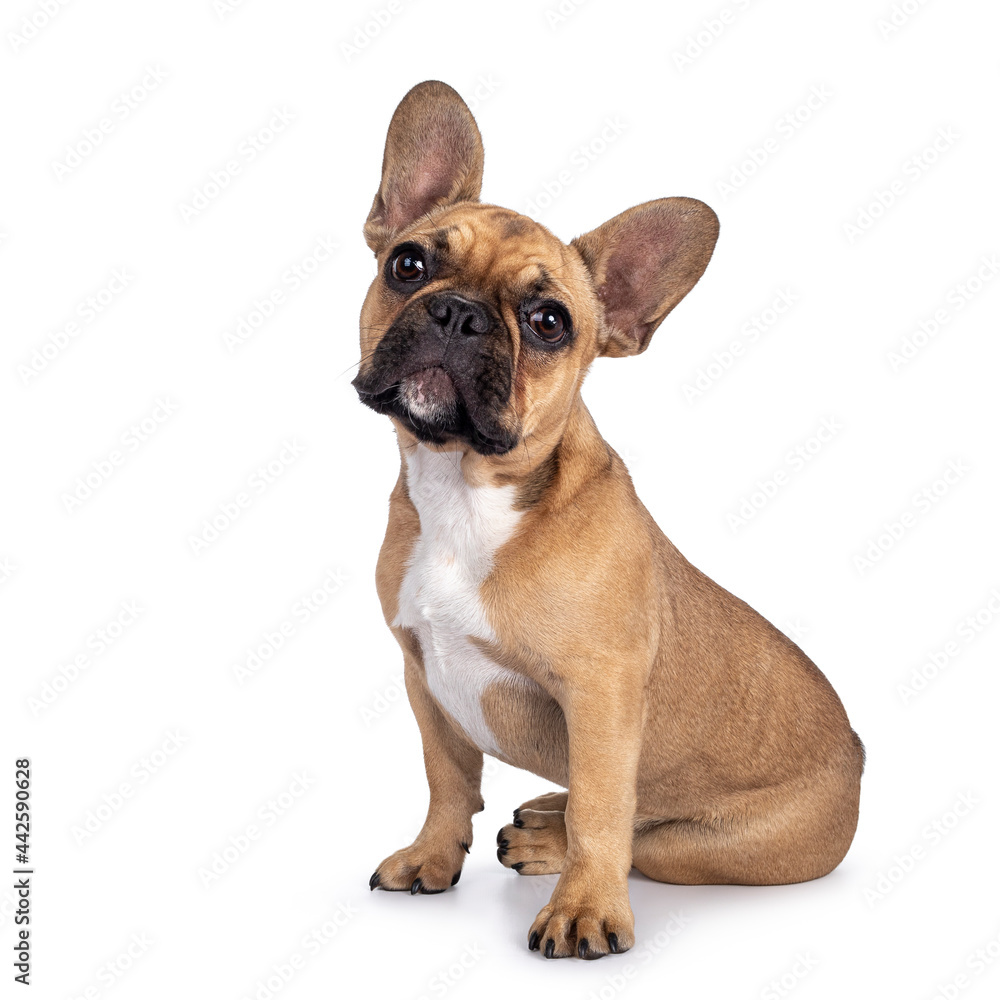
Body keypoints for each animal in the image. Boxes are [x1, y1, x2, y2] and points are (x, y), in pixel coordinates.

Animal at [352, 82, 860, 956]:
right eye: (408, 264)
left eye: (549, 321)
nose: (456, 313)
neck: (466, 490)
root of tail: (861, 765)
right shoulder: (423, 672)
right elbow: (446, 777)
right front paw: (431, 857)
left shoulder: (599, 696)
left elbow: (602, 811)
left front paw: (585, 908)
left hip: (709, 846)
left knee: (641, 837)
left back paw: (552, 842)